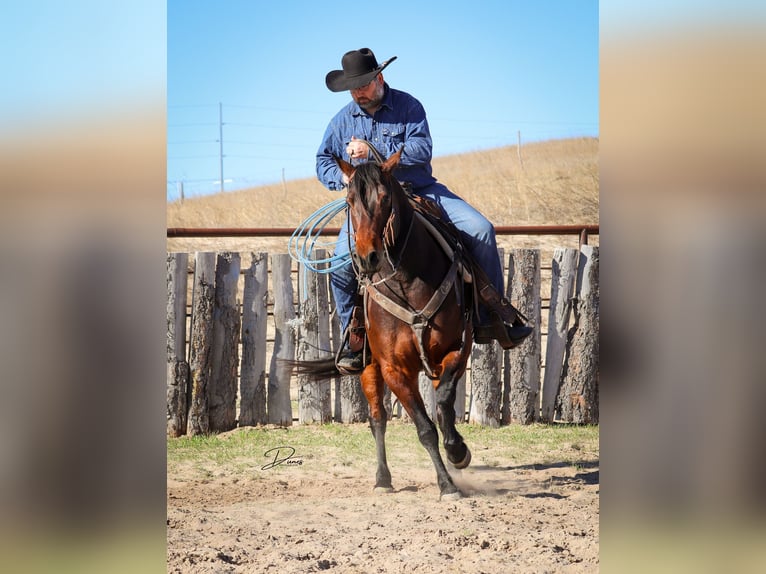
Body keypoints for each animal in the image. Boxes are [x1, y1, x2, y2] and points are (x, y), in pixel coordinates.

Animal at [295, 147, 474, 500]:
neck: (407, 282)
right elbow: (424, 428)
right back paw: (382, 479)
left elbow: (444, 403)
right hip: (368, 366)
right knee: (377, 419)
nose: (367, 258)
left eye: (385, 198)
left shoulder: (457, 349)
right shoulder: (393, 368)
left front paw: (458, 452)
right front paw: (446, 484)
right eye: (349, 200)